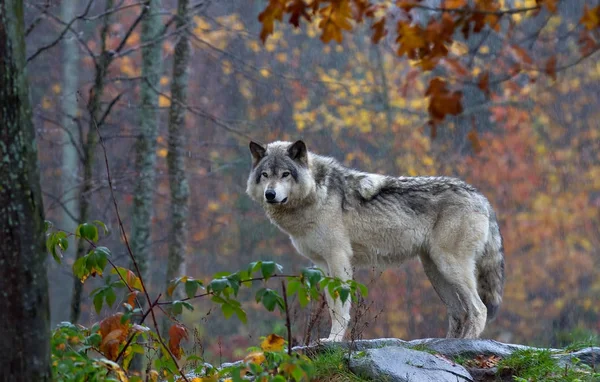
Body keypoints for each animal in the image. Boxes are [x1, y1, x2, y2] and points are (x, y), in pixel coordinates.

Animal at [246, 140, 504, 340]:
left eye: (285, 174)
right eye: (265, 175)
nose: (270, 194)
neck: (317, 193)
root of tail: (482, 198)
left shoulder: (339, 258)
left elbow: (341, 307)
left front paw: (334, 340)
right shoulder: (321, 264)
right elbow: (331, 305)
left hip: (449, 266)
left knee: (479, 309)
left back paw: (467, 343)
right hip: (435, 271)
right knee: (459, 312)